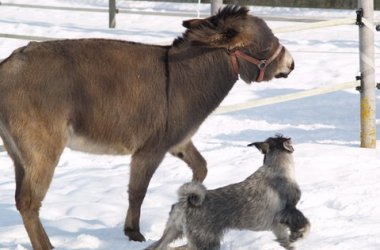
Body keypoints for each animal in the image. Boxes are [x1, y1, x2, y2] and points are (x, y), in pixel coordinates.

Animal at [145, 135, 308, 250]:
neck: (276, 167)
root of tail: (184, 203)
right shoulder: (288, 210)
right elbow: (302, 222)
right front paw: (300, 234)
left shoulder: (276, 225)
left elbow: (284, 239)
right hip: (206, 241)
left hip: (173, 232)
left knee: (160, 247)